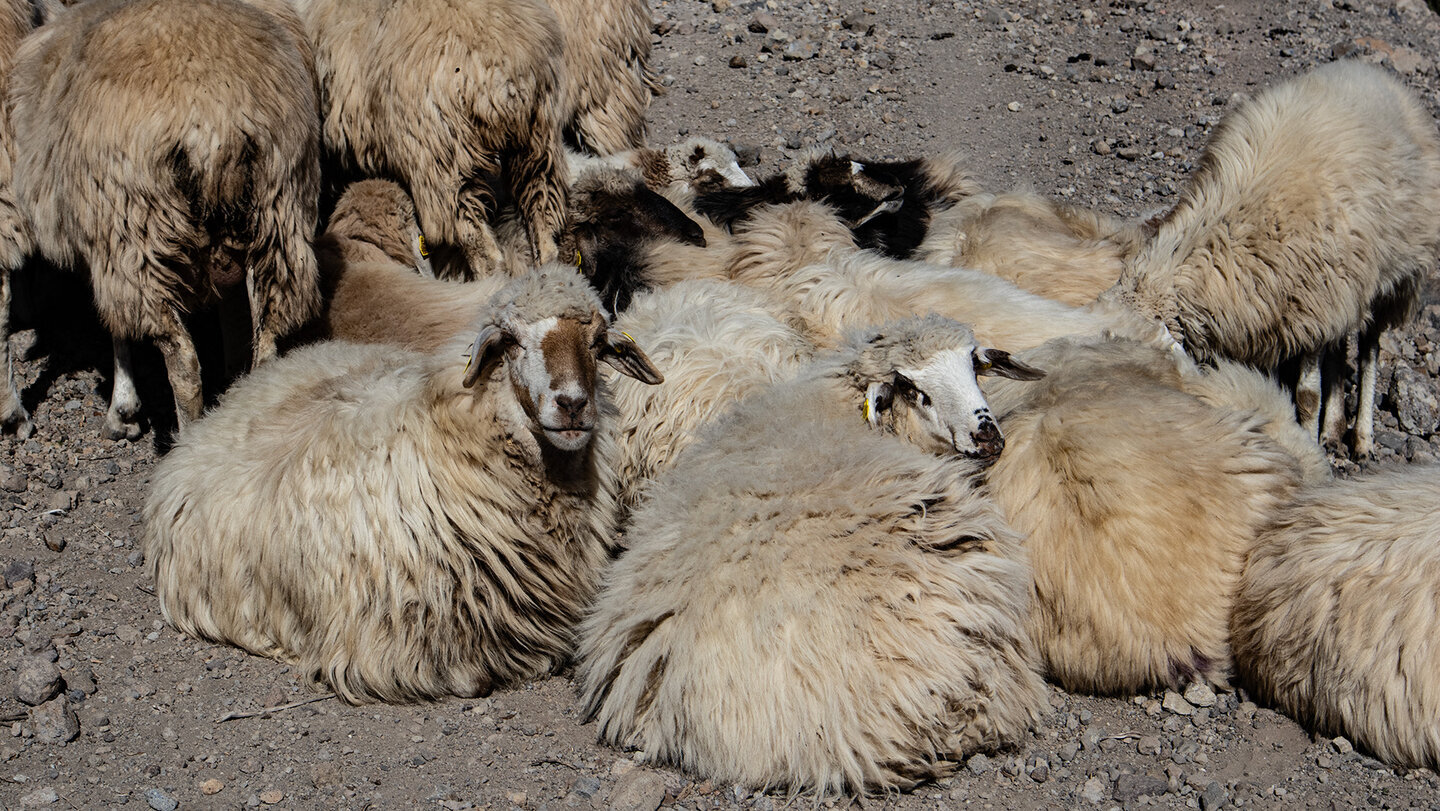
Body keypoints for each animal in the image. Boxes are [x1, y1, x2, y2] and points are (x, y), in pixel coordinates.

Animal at [6, 0, 320, 439]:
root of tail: (213, 122)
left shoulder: (102, 237)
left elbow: (116, 330)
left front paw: (122, 411)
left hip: (136, 231)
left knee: (184, 363)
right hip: (279, 219)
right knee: (268, 346)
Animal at [144, 266, 664, 704]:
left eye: (597, 343)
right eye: (512, 340)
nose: (572, 404)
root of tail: (233, 398)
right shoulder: (386, 648)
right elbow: (474, 678)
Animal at [301, 0, 569, 279]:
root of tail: (499, 72)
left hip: (443, 155)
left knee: (478, 241)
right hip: (538, 138)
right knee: (542, 212)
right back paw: (547, 268)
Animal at [1103, 59, 1440, 457]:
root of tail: (1374, 73)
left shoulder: (1310, 309)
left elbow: (1307, 395)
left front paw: (1308, 441)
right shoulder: (1311, 307)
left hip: (1395, 277)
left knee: (1370, 348)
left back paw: (1361, 437)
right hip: (1347, 286)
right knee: (1340, 345)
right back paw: (1332, 430)